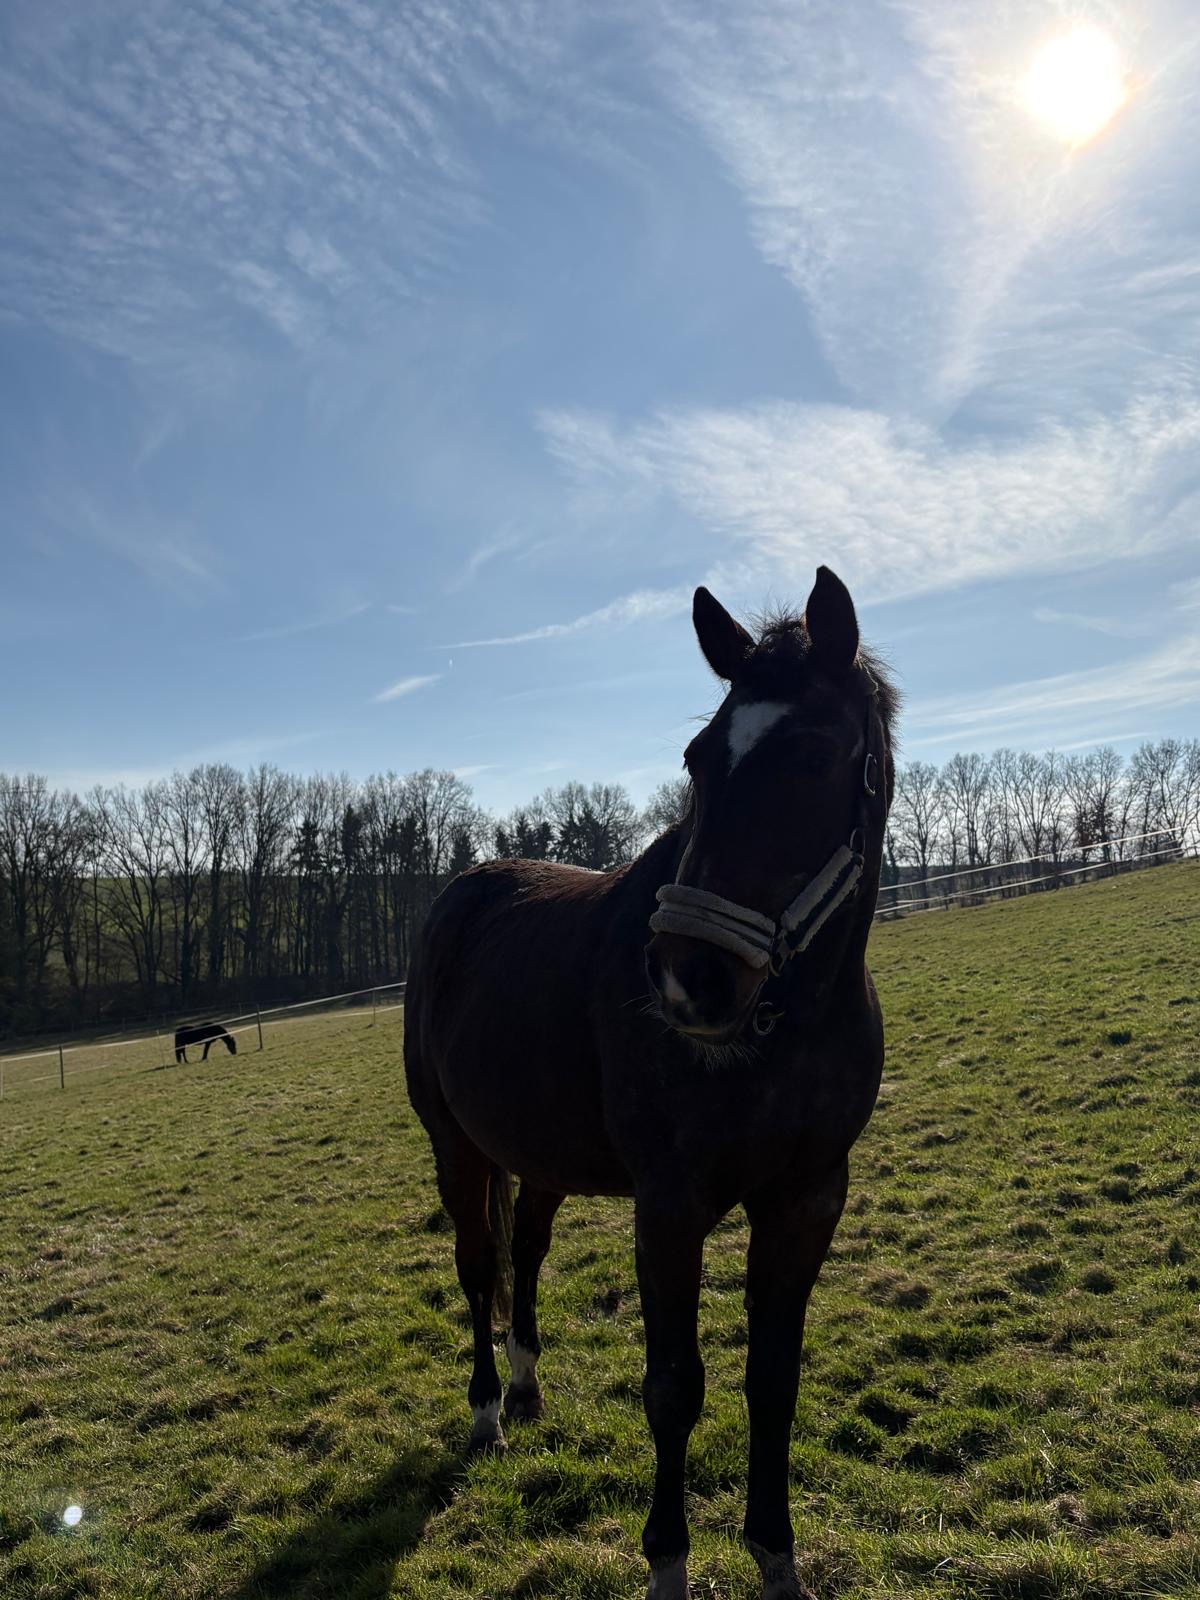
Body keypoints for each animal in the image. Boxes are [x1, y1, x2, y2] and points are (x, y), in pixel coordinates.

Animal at [404, 566, 897, 1600]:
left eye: (815, 753)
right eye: (699, 757)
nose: (686, 977)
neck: (782, 1026)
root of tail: (459, 897)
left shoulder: (807, 1199)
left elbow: (773, 1380)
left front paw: (777, 1555)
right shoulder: (669, 1208)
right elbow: (674, 1388)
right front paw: (668, 1560)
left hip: (541, 1158)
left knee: (526, 1255)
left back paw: (526, 1384)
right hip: (456, 1149)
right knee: (476, 1267)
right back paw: (487, 1411)